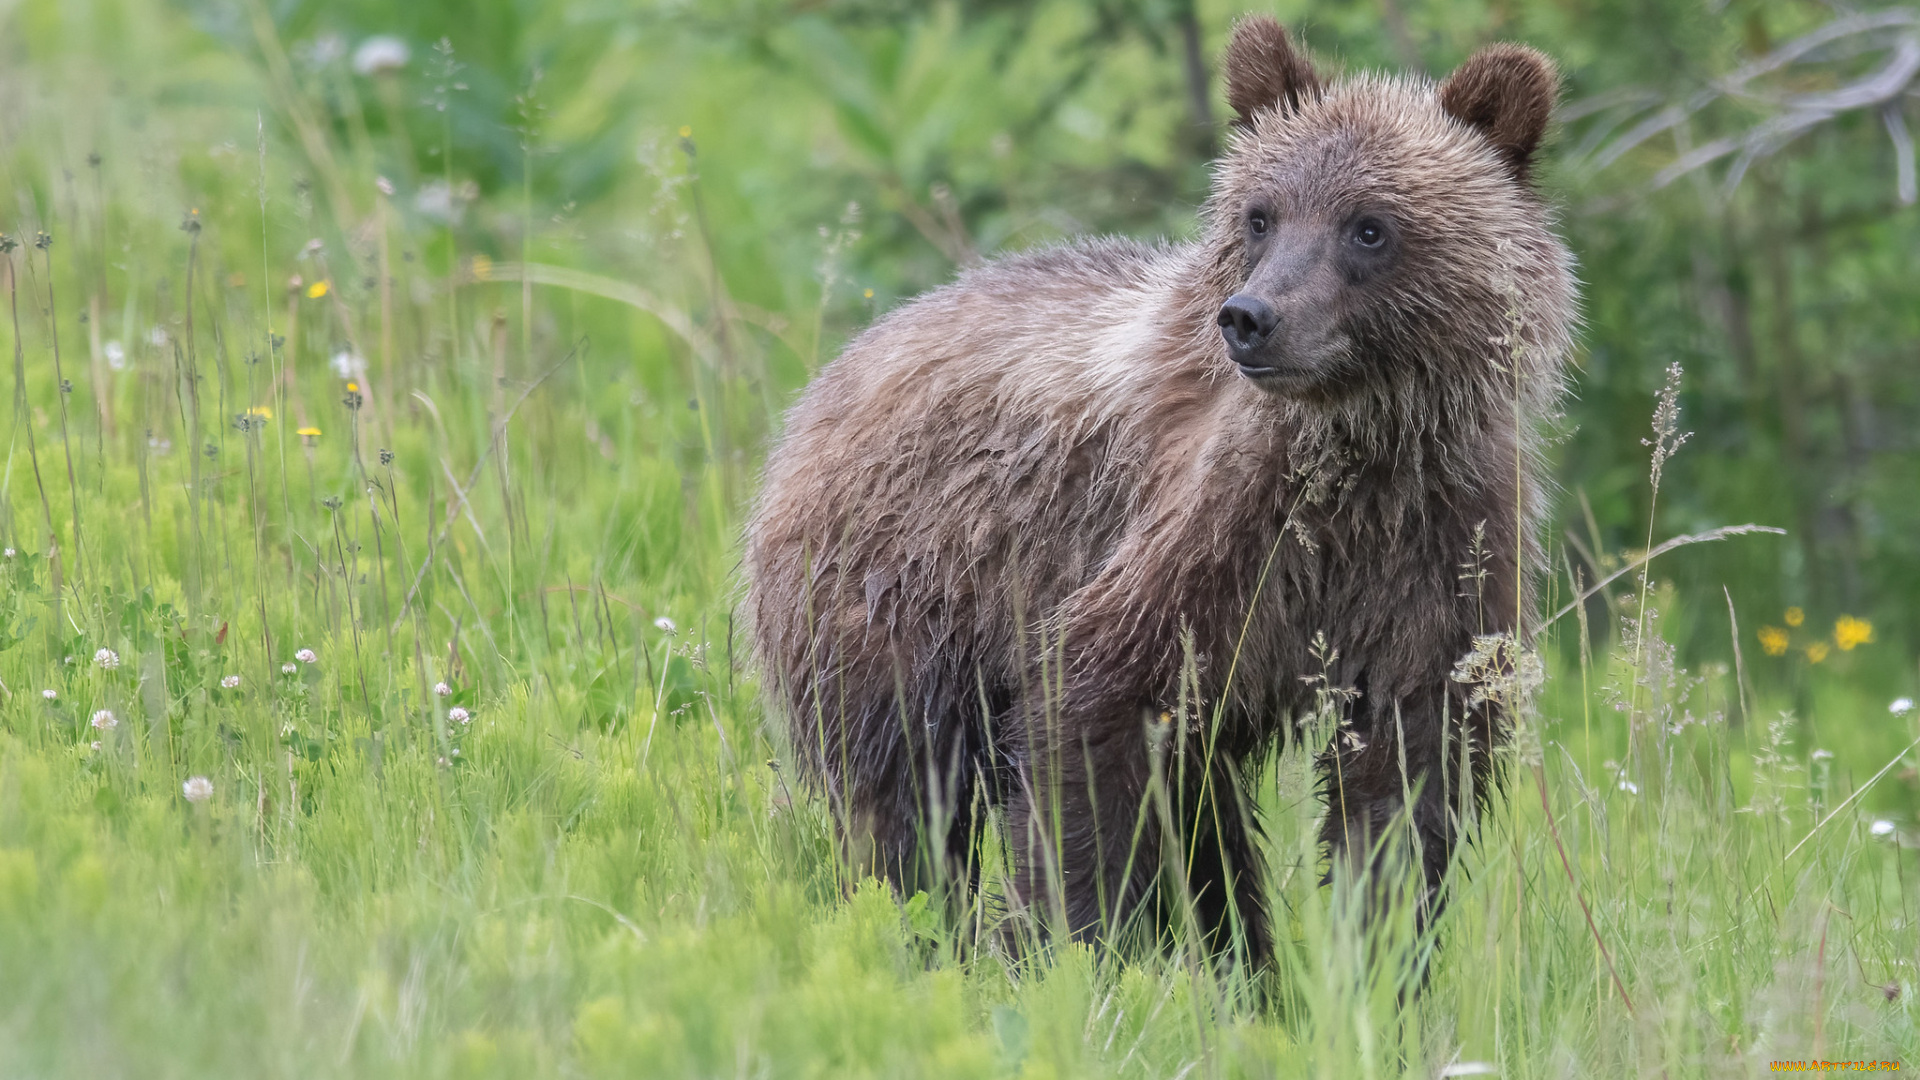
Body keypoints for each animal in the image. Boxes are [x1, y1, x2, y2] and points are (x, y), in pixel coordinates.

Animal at [741, 12, 1566, 960]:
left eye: (1369, 226)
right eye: (1260, 214)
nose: (1252, 317)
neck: (1361, 454)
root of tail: (830, 377)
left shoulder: (1437, 553)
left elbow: (1405, 785)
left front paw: (1376, 959)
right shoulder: (1208, 542)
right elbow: (1090, 728)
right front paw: (1063, 942)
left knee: (1208, 834)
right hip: (897, 593)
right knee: (907, 803)